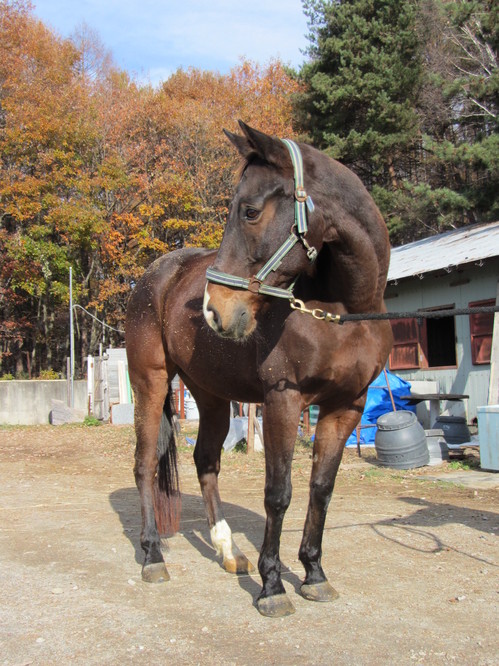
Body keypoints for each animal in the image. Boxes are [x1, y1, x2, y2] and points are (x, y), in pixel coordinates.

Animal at [126, 122, 394, 616]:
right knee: (144, 464)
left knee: (205, 461)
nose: (214, 310)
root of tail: (156, 275)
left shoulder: (346, 407)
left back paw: (229, 551)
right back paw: (153, 556)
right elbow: (279, 492)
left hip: (211, 396)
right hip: (150, 383)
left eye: (250, 211)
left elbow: (320, 489)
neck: (345, 312)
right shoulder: (282, 400)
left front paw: (314, 574)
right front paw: (273, 586)